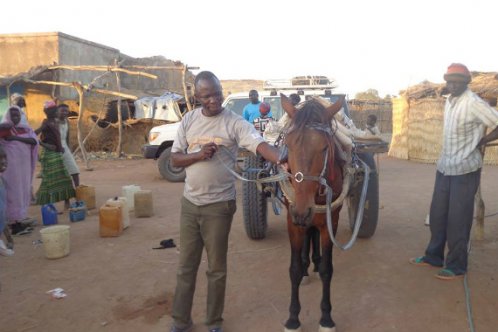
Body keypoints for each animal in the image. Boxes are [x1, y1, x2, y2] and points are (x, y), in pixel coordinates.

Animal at [278, 93, 344, 332]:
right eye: (288, 145)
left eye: (325, 148)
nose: (302, 209)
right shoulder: (292, 221)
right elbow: (294, 269)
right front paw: (293, 319)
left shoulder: (330, 222)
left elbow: (327, 269)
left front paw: (326, 318)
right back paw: (308, 266)